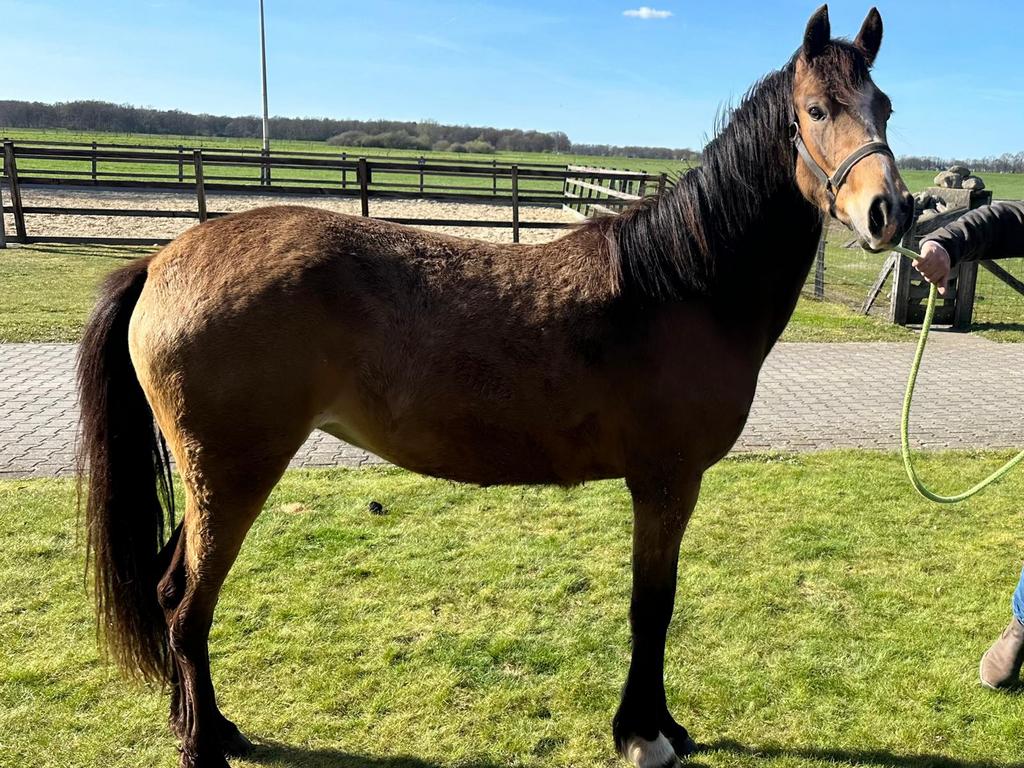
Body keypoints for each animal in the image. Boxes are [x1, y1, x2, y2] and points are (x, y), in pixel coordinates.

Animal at [77, 6, 912, 767]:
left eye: (885, 108)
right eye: (816, 109)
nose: (890, 212)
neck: (681, 284)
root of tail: (161, 260)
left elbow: (657, 606)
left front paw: (664, 727)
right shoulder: (665, 483)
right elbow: (653, 608)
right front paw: (643, 735)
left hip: (210, 481)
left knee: (170, 591)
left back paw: (213, 728)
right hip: (230, 476)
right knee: (186, 606)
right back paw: (202, 745)